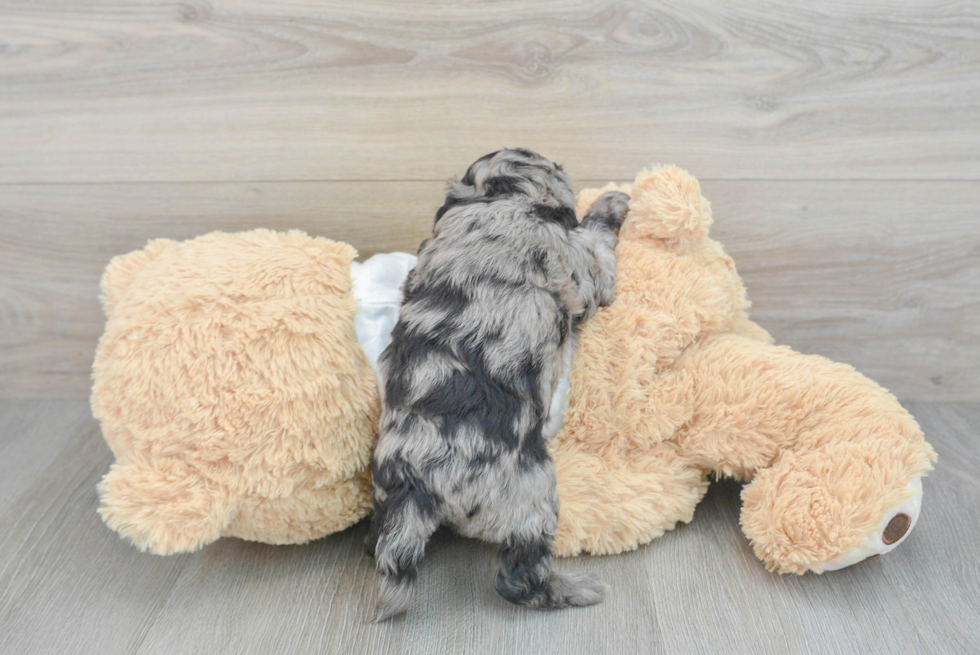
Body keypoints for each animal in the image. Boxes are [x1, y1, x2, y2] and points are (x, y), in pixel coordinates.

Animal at [368, 147, 628, 620]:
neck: (497, 199)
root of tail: (415, 484)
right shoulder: (580, 266)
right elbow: (596, 244)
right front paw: (611, 202)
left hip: (384, 497)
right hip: (532, 493)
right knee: (518, 576)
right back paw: (575, 590)